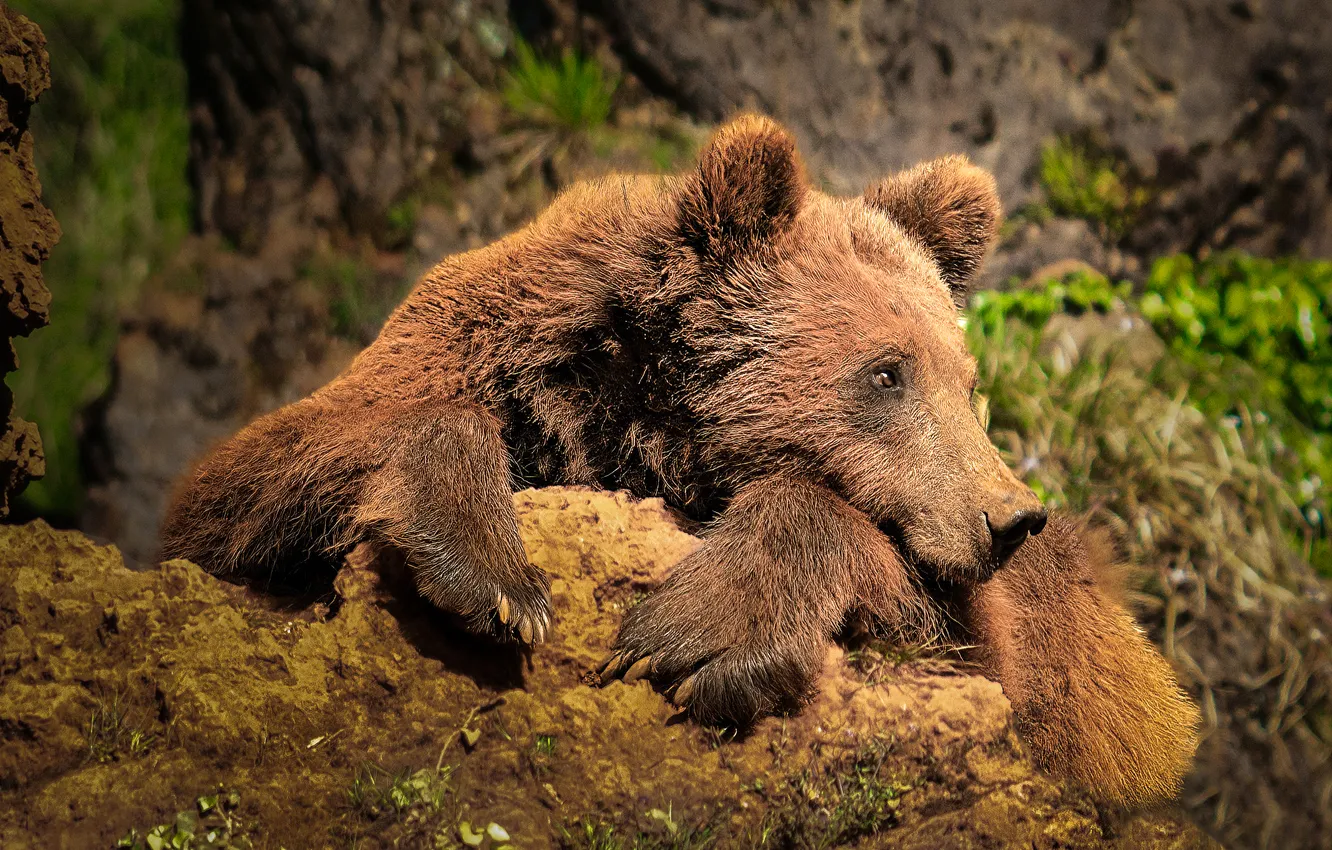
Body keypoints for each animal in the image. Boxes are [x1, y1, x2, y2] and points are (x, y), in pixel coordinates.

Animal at [161, 114, 1198, 805]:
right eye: (887, 370)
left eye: (966, 378)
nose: (1010, 516)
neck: (659, 431)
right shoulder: (488, 338)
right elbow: (251, 480)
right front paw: (496, 578)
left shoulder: (999, 651)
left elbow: (949, 641)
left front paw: (701, 632)